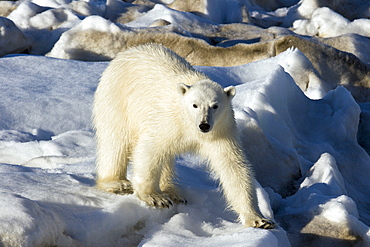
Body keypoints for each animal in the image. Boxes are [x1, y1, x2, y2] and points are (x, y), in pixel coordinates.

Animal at [92, 43, 274, 230]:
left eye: (215, 105)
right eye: (195, 105)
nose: (204, 125)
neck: (190, 125)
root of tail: (128, 51)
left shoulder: (220, 131)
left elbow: (233, 166)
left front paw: (259, 220)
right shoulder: (169, 121)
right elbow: (149, 148)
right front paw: (155, 197)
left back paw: (173, 192)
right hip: (117, 97)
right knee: (115, 141)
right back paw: (117, 183)